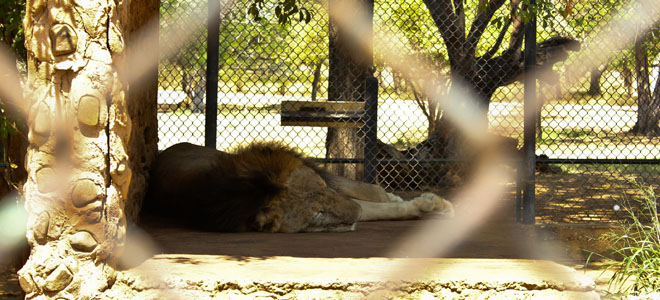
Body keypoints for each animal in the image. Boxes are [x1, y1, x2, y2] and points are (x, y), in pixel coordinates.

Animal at [142, 142, 454, 233]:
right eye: (317, 214)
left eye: (322, 189)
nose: (352, 215)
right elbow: (374, 209)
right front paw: (427, 205)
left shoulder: (330, 184)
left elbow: (369, 196)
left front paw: (435, 203)